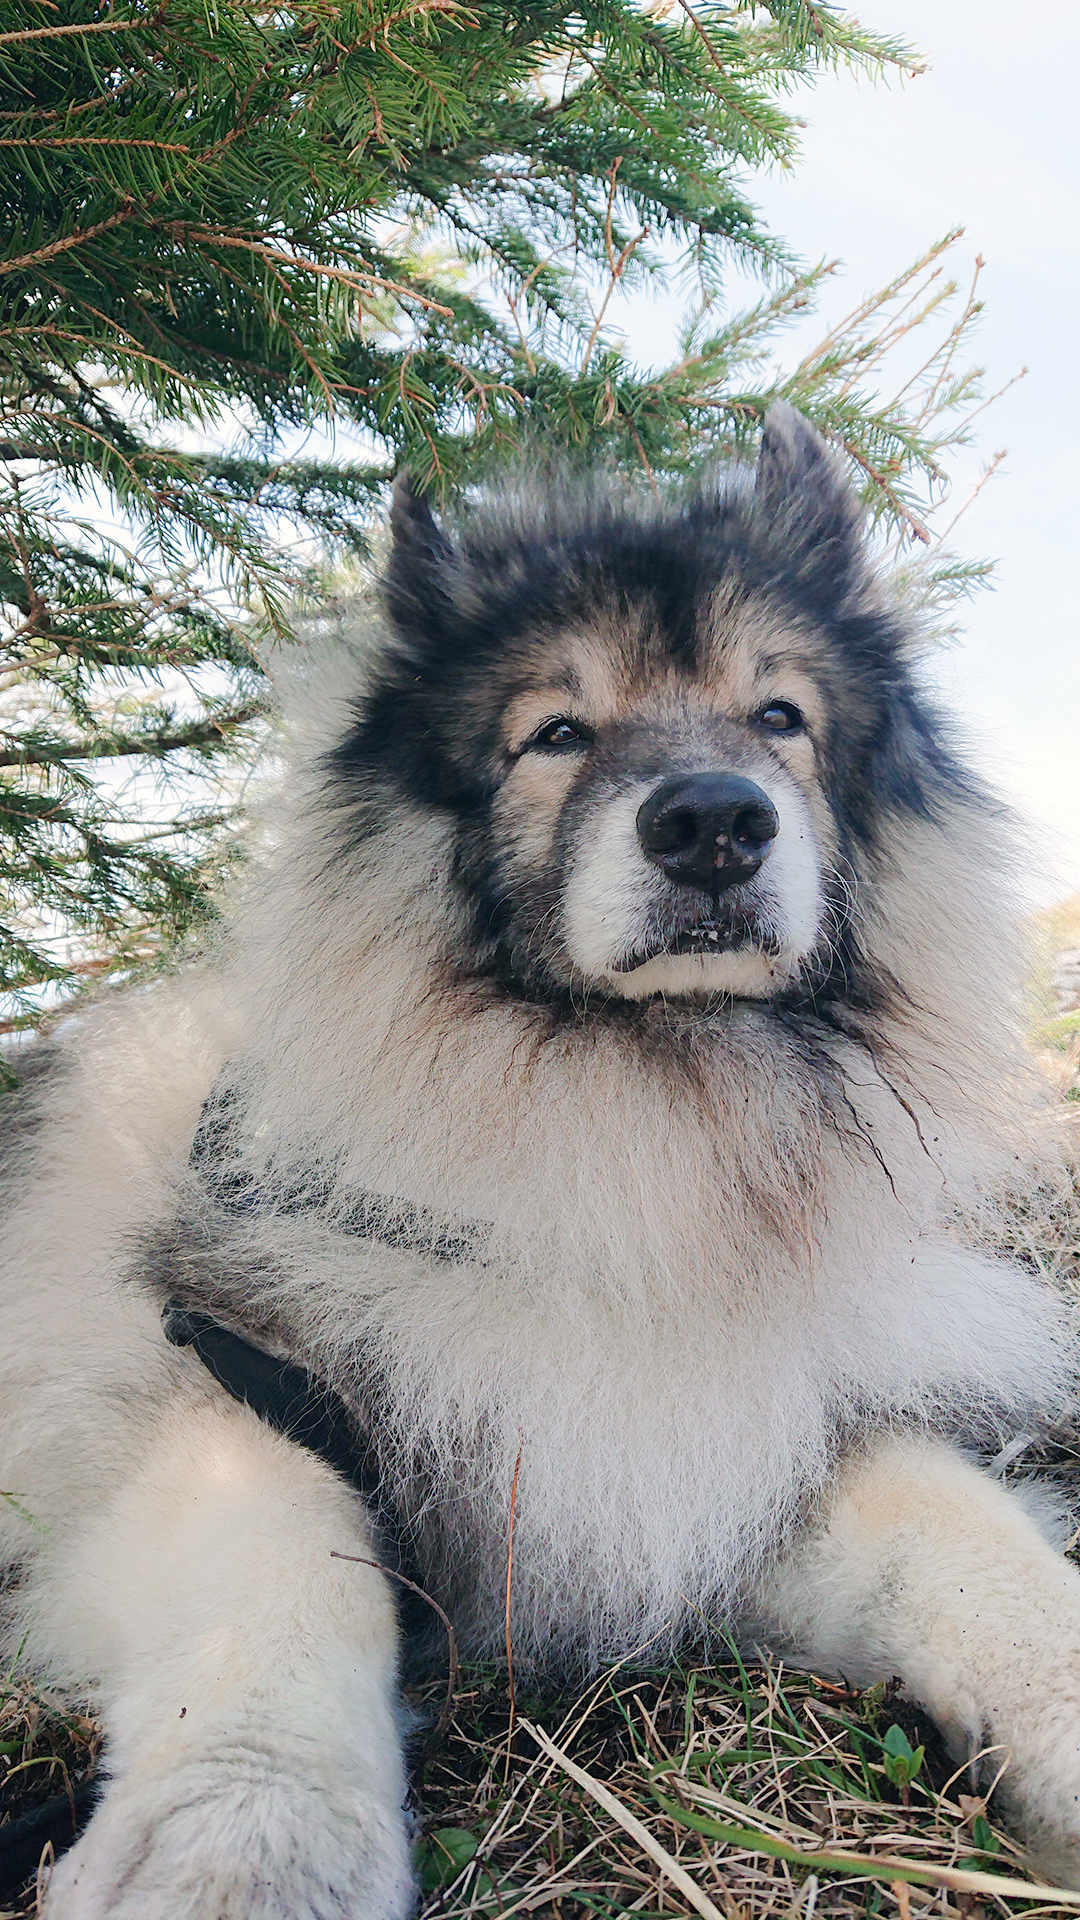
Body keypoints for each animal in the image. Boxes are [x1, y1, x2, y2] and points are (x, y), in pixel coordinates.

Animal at [2, 401, 1076, 1904]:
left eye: (780, 717)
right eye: (557, 732)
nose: (712, 821)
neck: (633, 1135)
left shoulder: (711, 1444)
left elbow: (972, 1541)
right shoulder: (227, 1377)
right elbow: (284, 1565)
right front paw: (246, 1845)